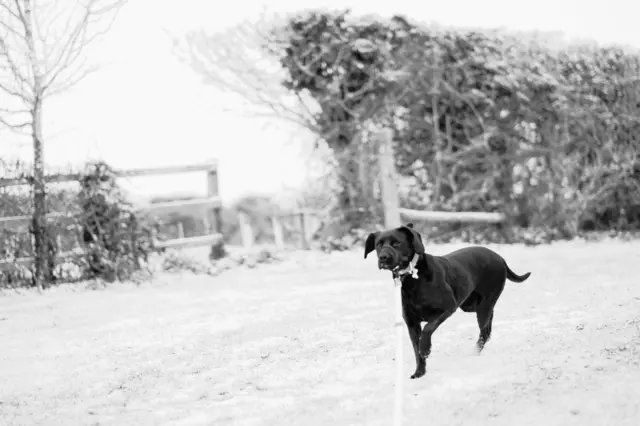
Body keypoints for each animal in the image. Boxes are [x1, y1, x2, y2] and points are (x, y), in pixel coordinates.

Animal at [364, 223, 528, 380]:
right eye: (378, 244)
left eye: (397, 243)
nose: (383, 257)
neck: (413, 278)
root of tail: (500, 258)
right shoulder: (412, 323)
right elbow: (416, 350)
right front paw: (419, 372)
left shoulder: (448, 307)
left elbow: (428, 329)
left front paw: (425, 348)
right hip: (471, 304)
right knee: (489, 322)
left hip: (483, 306)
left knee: (485, 330)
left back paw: (474, 352)